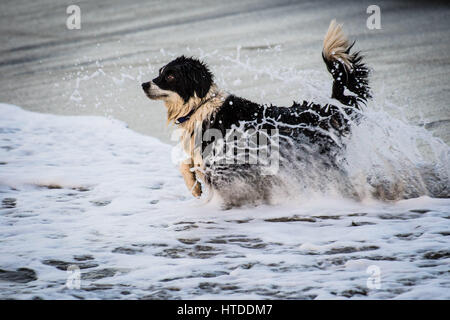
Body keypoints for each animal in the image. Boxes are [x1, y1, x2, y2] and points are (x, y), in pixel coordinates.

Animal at [142, 20, 370, 205]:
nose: (144, 85)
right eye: (160, 72)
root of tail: (330, 109)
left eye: (170, 76)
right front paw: (195, 188)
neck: (199, 106)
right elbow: (186, 164)